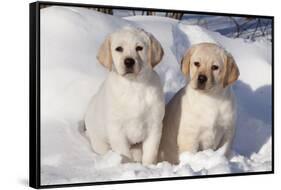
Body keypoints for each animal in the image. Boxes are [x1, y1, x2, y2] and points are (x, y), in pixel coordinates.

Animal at [84, 26, 165, 165]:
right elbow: (124, 153)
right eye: (119, 49)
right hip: (99, 141)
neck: (134, 86)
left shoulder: (155, 126)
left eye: (139, 48)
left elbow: (150, 154)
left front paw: (148, 166)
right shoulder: (116, 129)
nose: (129, 61)